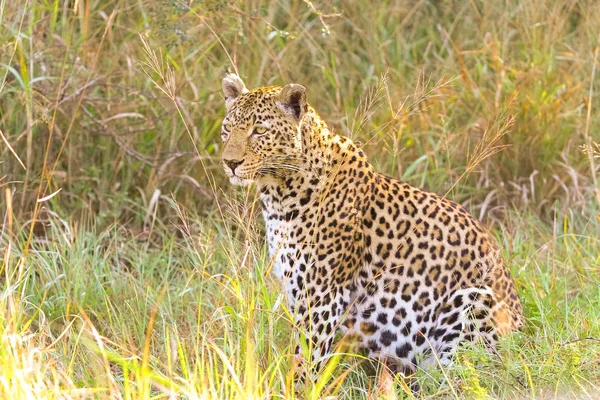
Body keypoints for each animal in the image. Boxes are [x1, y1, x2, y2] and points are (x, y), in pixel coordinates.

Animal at [218, 73, 524, 386]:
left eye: (259, 131)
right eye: (227, 129)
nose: (230, 163)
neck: (278, 194)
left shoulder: (321, 295)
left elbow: (306, 357)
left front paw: (296, 388)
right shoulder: (296, 290)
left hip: (472, 304)